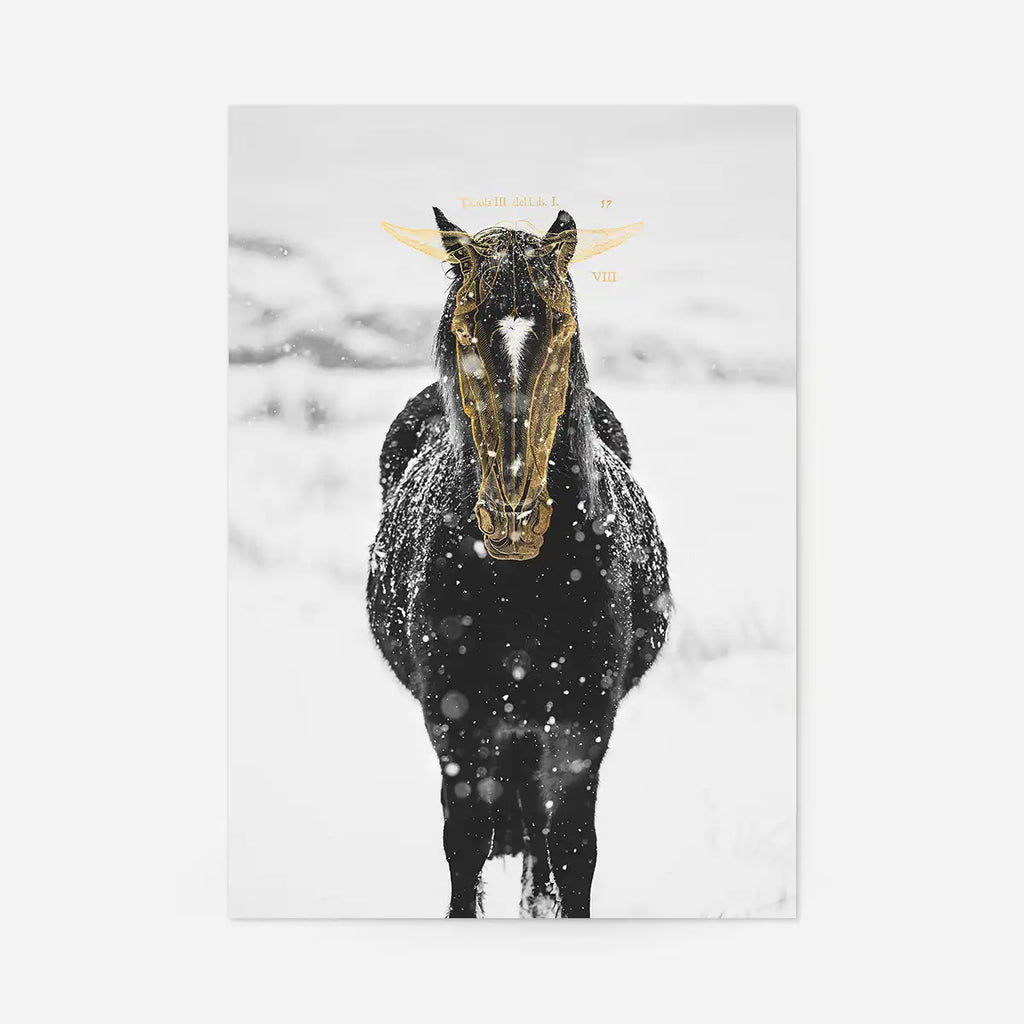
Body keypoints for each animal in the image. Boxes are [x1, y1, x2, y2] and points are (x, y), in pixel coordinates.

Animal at [367, 208, 670, 917]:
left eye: (561, 325)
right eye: (464, 327)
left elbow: (574, 848)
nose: (514, 516)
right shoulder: (459, 726)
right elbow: (466, 842)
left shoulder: (582, 728)